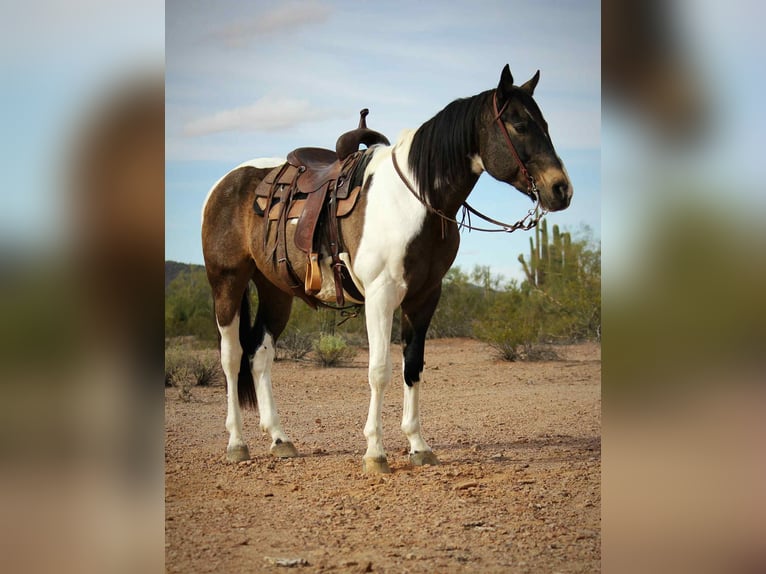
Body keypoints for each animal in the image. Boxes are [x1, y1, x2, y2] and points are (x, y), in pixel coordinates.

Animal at [201, 64, 573, 474]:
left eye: (546, 124)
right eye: (520, 125)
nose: (561, 190)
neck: (416, 199)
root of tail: (224, 183)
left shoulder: (424, 296)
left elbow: (413, 366)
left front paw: (418, 446)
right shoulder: (381, 295)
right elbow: (379, 371)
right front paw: (375, 452)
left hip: (276, 291)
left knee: (260, 355)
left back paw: (280, 438)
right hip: (227, 282)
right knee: (231, 356)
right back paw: (237, 442)